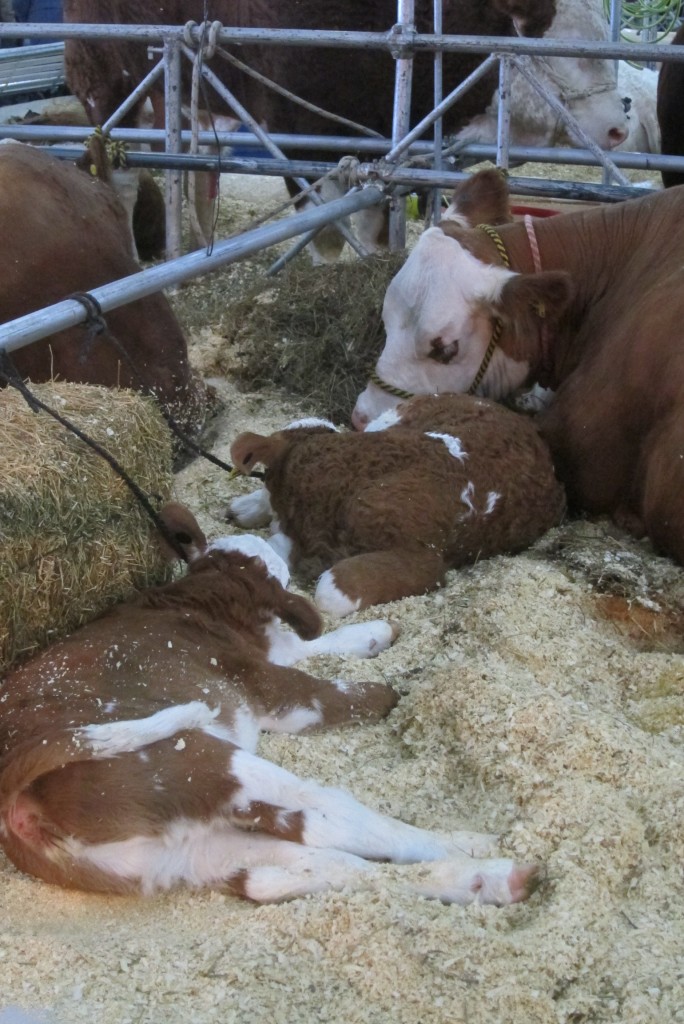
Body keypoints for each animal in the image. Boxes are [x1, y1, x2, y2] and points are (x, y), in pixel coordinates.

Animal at [0, 503, 536, 905]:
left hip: (177, 855)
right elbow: (334, 689)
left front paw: (376, 634)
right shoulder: (272, 688)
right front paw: (394, 689)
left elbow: (313, 641)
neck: (200, 601)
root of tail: (14, 790)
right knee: (327, 817)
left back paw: (484, 878)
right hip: (188, 764)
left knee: (294, 873)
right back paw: (481, 853)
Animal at [62, 2, 630, 258]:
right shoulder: (298, 128)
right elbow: (326, 223)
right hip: (110, 88)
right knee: (122, 179)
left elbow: (375, 219)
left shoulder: (384, 141)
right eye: (575, 54)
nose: (620, 129)